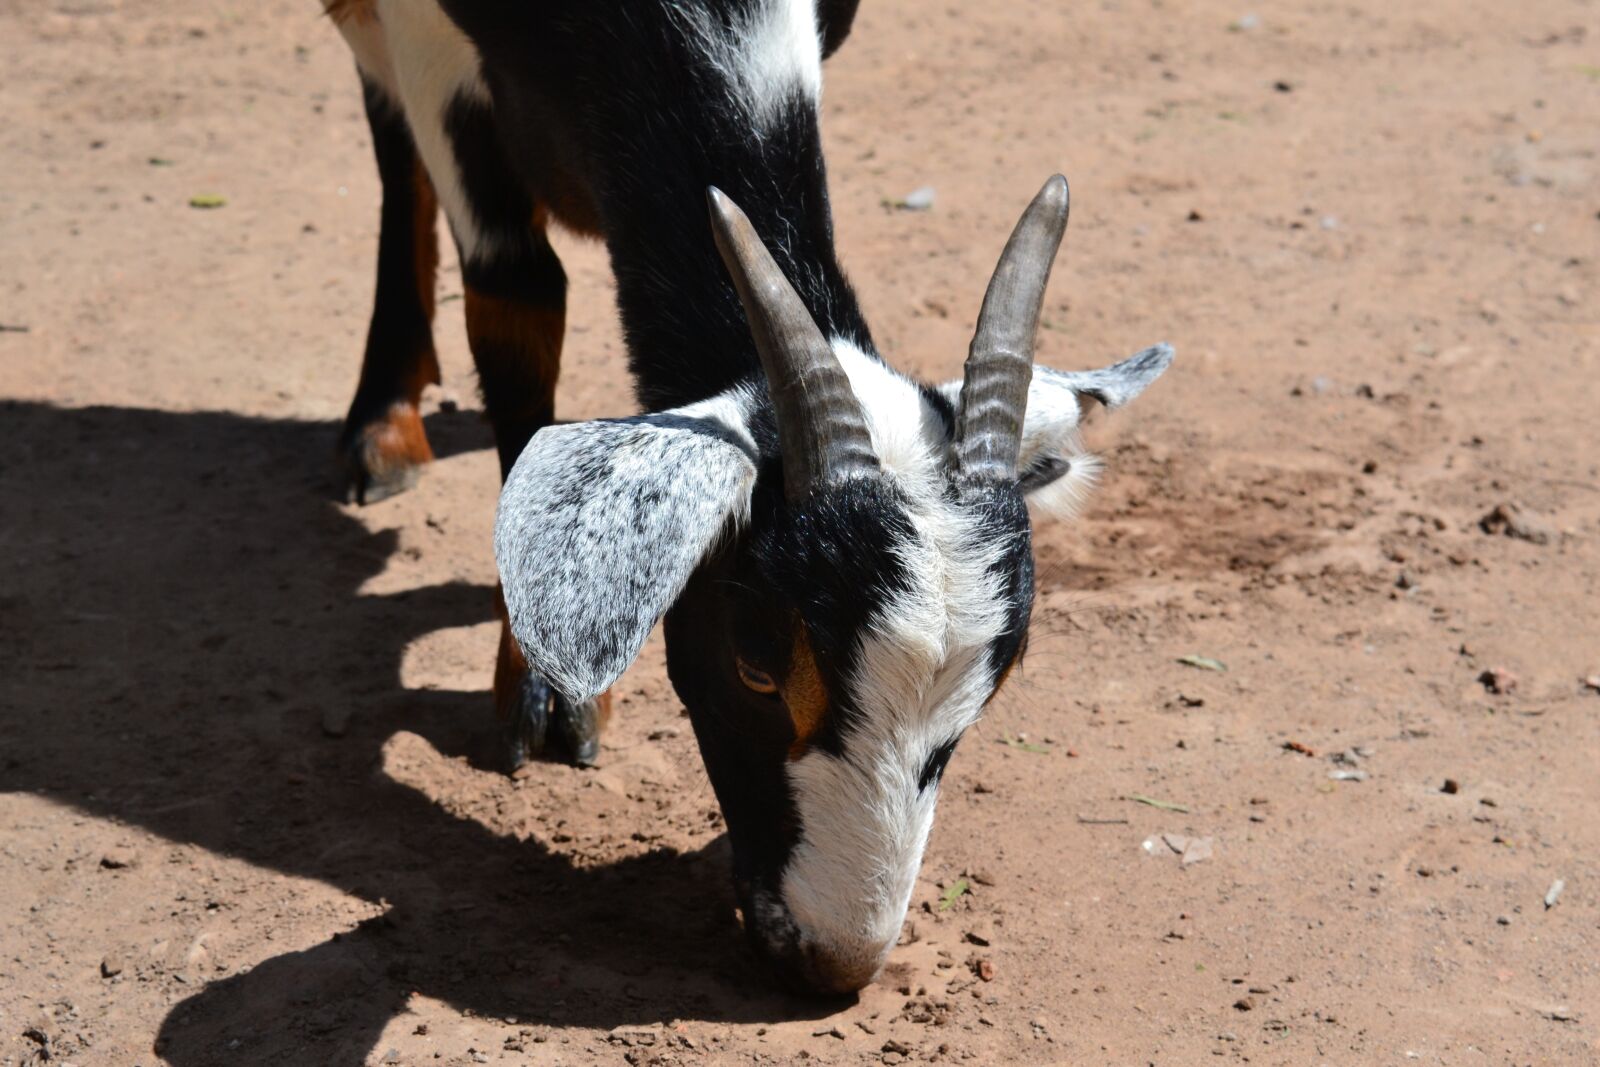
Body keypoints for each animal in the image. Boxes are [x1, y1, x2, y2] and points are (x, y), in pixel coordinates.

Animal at [324, 0, 1173, 995]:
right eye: (757, 664)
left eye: (995, 683)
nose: (835, 958)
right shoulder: (435, 48)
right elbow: (514, 295)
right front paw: (545, 689)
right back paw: (384, 422)